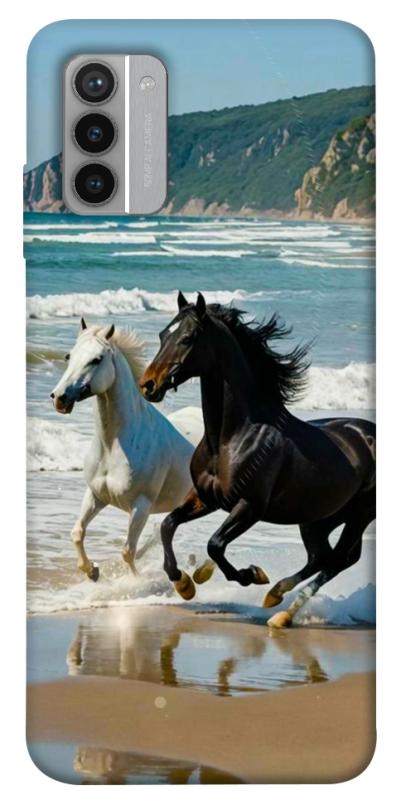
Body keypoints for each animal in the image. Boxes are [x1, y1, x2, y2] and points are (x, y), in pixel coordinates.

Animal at [50, 317, 195, 581]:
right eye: (69, 356)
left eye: (96, 359)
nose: (59, 398)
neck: (114, 446)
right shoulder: (96, 495)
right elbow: (77, 532)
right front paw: (92, 571)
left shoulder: (141, 506)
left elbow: (127, 551)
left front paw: (134, 583)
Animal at [139, 292, 376, 627]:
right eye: (162, 335)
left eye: (187, 338)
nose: (148, 385)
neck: (231, 438)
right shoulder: (206, 498)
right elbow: (168, 525)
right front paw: (185, 583)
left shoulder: (249, 507)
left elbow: (215, 544)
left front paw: (250, 574)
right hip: (318, 518)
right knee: (322, 557)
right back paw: (276, 597)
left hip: (359, 515)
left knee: (338, 559)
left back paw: (282, 611)